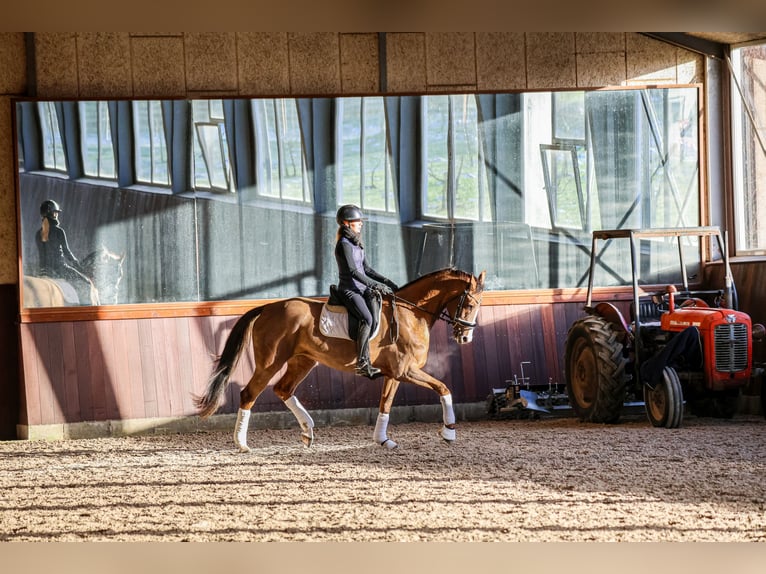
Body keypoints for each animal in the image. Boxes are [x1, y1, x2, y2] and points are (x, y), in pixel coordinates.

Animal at [196, 268, 486, 452]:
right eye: (470, 305)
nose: (466, 338)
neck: (411, 313)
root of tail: (267, 307)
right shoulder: (407, 371)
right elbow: (444, 388)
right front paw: (449, 432)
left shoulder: (395, 374)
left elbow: (385, 404)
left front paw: (383, 440)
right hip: (270, 363)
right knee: (249, 393)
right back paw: (242, 444)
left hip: (303, 361)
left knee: (283, 389)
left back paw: (307, 431)